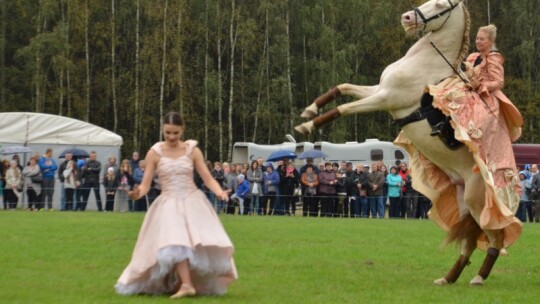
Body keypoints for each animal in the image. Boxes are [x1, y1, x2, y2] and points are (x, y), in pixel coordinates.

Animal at [296, 0, 524, 284]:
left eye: (440, 4)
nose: (406, 18)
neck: (423, 64)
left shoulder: (385, 98)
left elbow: (345, 108)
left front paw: (306, 125)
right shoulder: (378, 89)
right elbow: (342, 87)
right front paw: (309, 110)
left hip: (478, 201)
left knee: (497, 237)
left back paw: (478, 278)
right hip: (463, 202)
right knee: (469, 242)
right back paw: (447, 278)